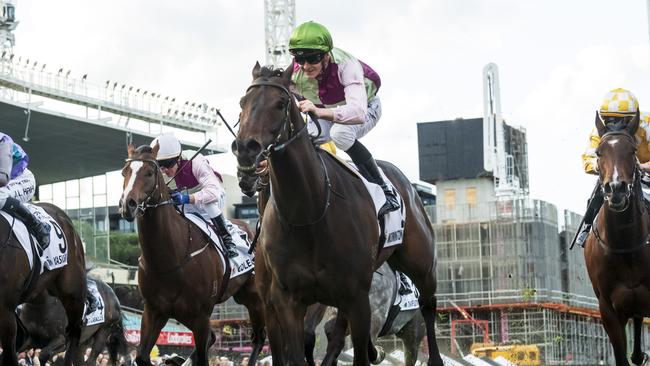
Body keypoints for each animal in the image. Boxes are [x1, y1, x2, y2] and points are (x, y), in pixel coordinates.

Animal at [120, 145, 264, 366]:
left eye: (150, 172)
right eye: (124, 172)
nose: (128, 204)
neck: (169, 260)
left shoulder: (201, 316)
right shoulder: (154, 311)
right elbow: (142, 357)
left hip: (254, 296)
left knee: (259, 338)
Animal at [232, 66, 440, 366]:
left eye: (280, 104)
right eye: (243, 103)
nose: (246, 149)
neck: (308, 214)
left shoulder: (357, 297)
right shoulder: (285, 299)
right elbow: (296, 350)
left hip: (420, 266)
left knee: (427, 305)